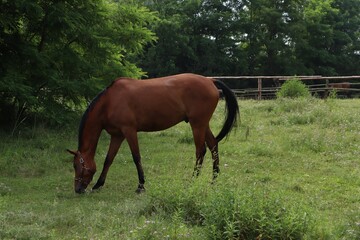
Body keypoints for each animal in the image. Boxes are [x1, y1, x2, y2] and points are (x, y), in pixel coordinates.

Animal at [67, 72, 239, 193]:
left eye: (76, 165)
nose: (78, 189)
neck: (109, 102)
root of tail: (210, 81)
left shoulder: (129, 131)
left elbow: (136, 157)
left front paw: (141, 185)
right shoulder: (117, 135)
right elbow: (108, 159)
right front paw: (98, 184)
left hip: (197, 124)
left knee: (200, 151)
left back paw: (193, 181)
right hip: (203, 124)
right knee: (213, 145)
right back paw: (214, 180)